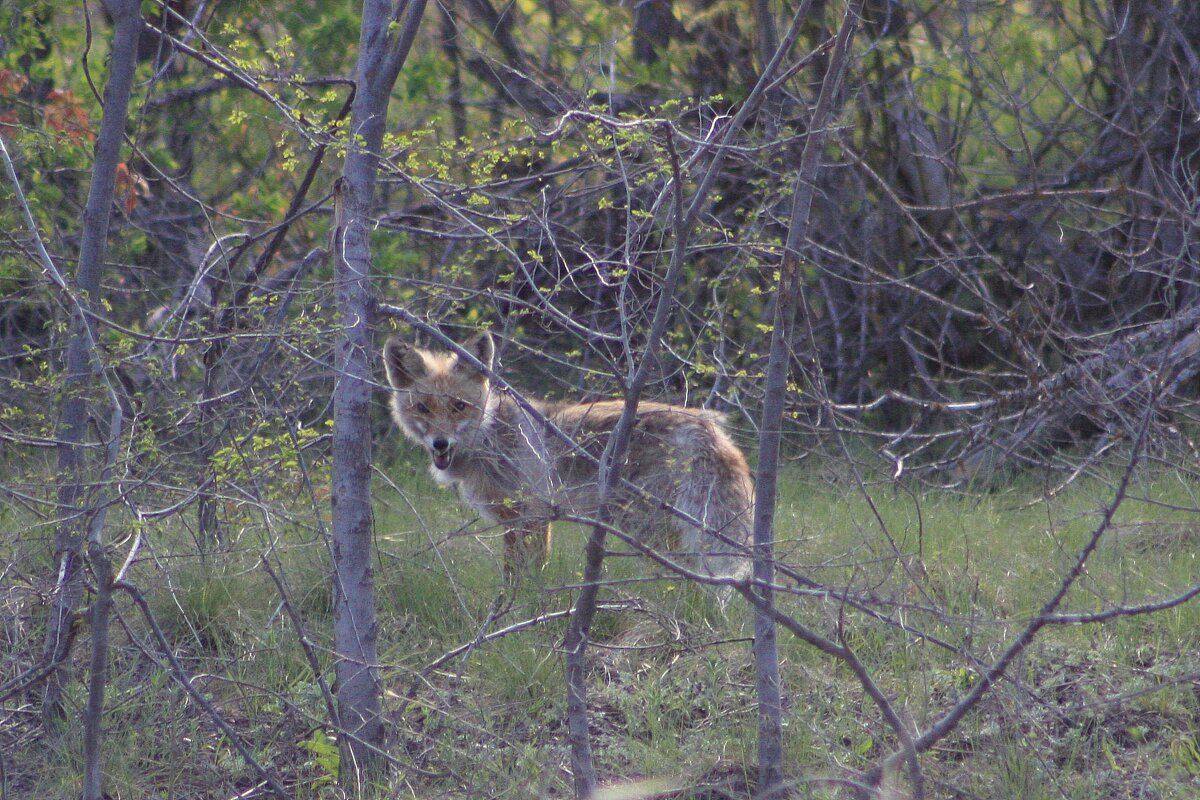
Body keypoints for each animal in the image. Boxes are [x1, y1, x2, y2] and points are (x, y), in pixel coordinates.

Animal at [384, 328, 753, 585]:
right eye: (423, 408)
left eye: (459, 406)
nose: (440, 444)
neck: (490, 436)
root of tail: (707, 423)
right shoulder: (513, 521)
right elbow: (512, 573)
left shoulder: (534, 512)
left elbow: (529, 574)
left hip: (645, 526)